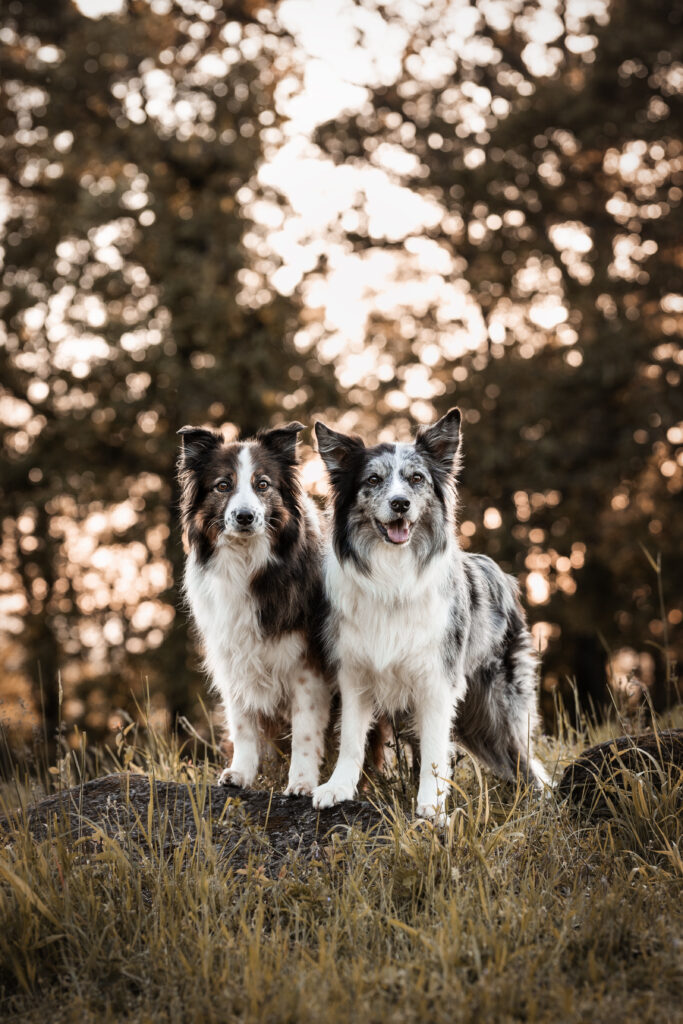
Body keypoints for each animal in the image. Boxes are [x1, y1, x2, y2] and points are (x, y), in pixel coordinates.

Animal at [179, 419, 331, 794]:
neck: (249, 564)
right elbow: (243, 723)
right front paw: (241, 773)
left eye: (262, 484)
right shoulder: (235, 657)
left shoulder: (307, 664)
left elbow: (305, 730)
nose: (244, 516)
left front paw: (301, 782)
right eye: (223, 485)